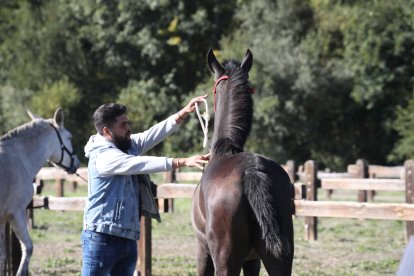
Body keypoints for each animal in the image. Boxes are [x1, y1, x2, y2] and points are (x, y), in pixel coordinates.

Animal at [0, 109, 80, 274]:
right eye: (69, 137)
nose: (77, 163)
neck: (19, 158)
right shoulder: (16, 213)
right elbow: (28, 248)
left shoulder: (3, 219)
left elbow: (2, 256)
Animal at [192, 50, 294, 276]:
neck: (224, 150)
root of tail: (251, 171)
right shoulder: (252, 260)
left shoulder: (202, 249)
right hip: (280, 260)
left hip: (224, 261)